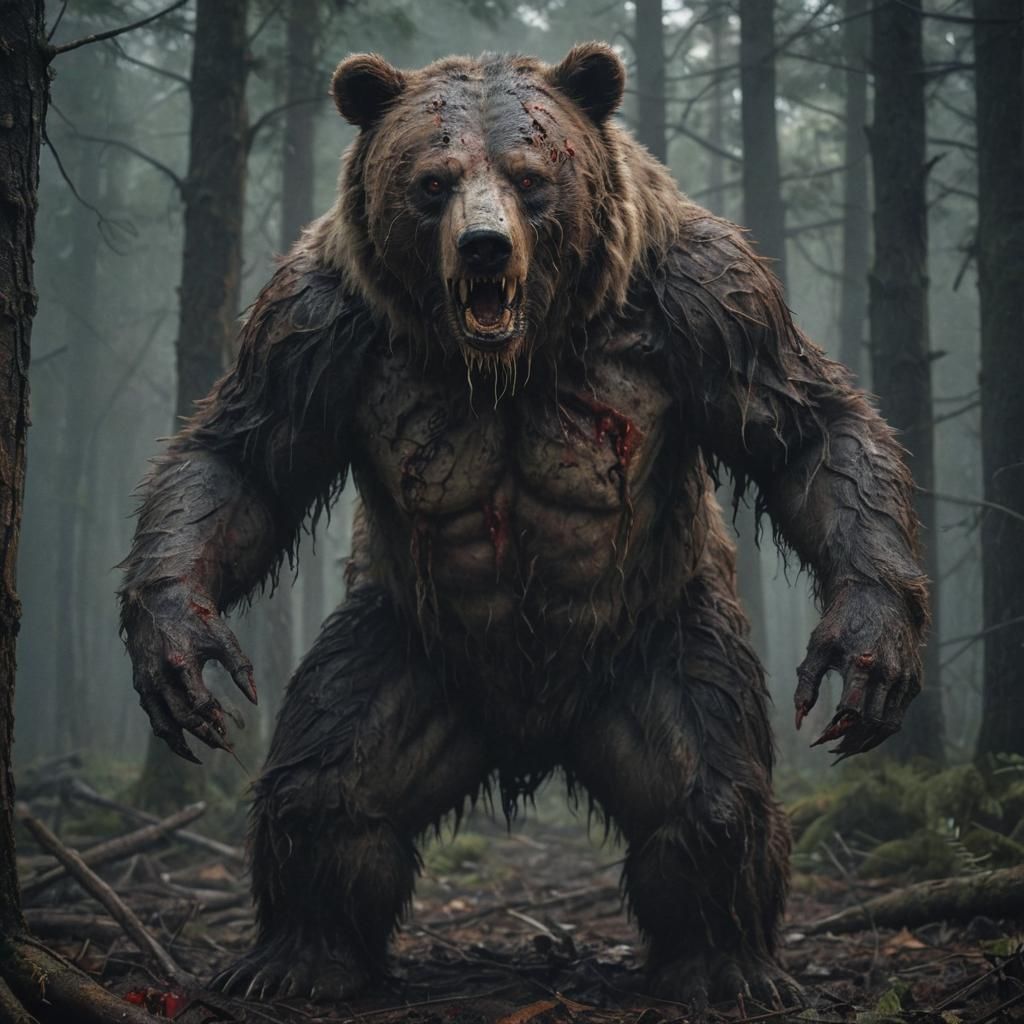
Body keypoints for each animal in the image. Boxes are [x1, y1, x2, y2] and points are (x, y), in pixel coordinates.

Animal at [119, 44, 928, 1011]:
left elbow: (806, 428)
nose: (484, 244)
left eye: (530, 176)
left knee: (704, 795)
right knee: (329, 785)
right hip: (410, 648)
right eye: (432, 180)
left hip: (655, 641)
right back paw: (299, 957)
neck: (513, 351)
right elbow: (244, 454)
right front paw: (177, 646)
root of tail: (527, 741)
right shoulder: (313, 319)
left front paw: (868, 645)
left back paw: (725, 964)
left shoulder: (709, 295)